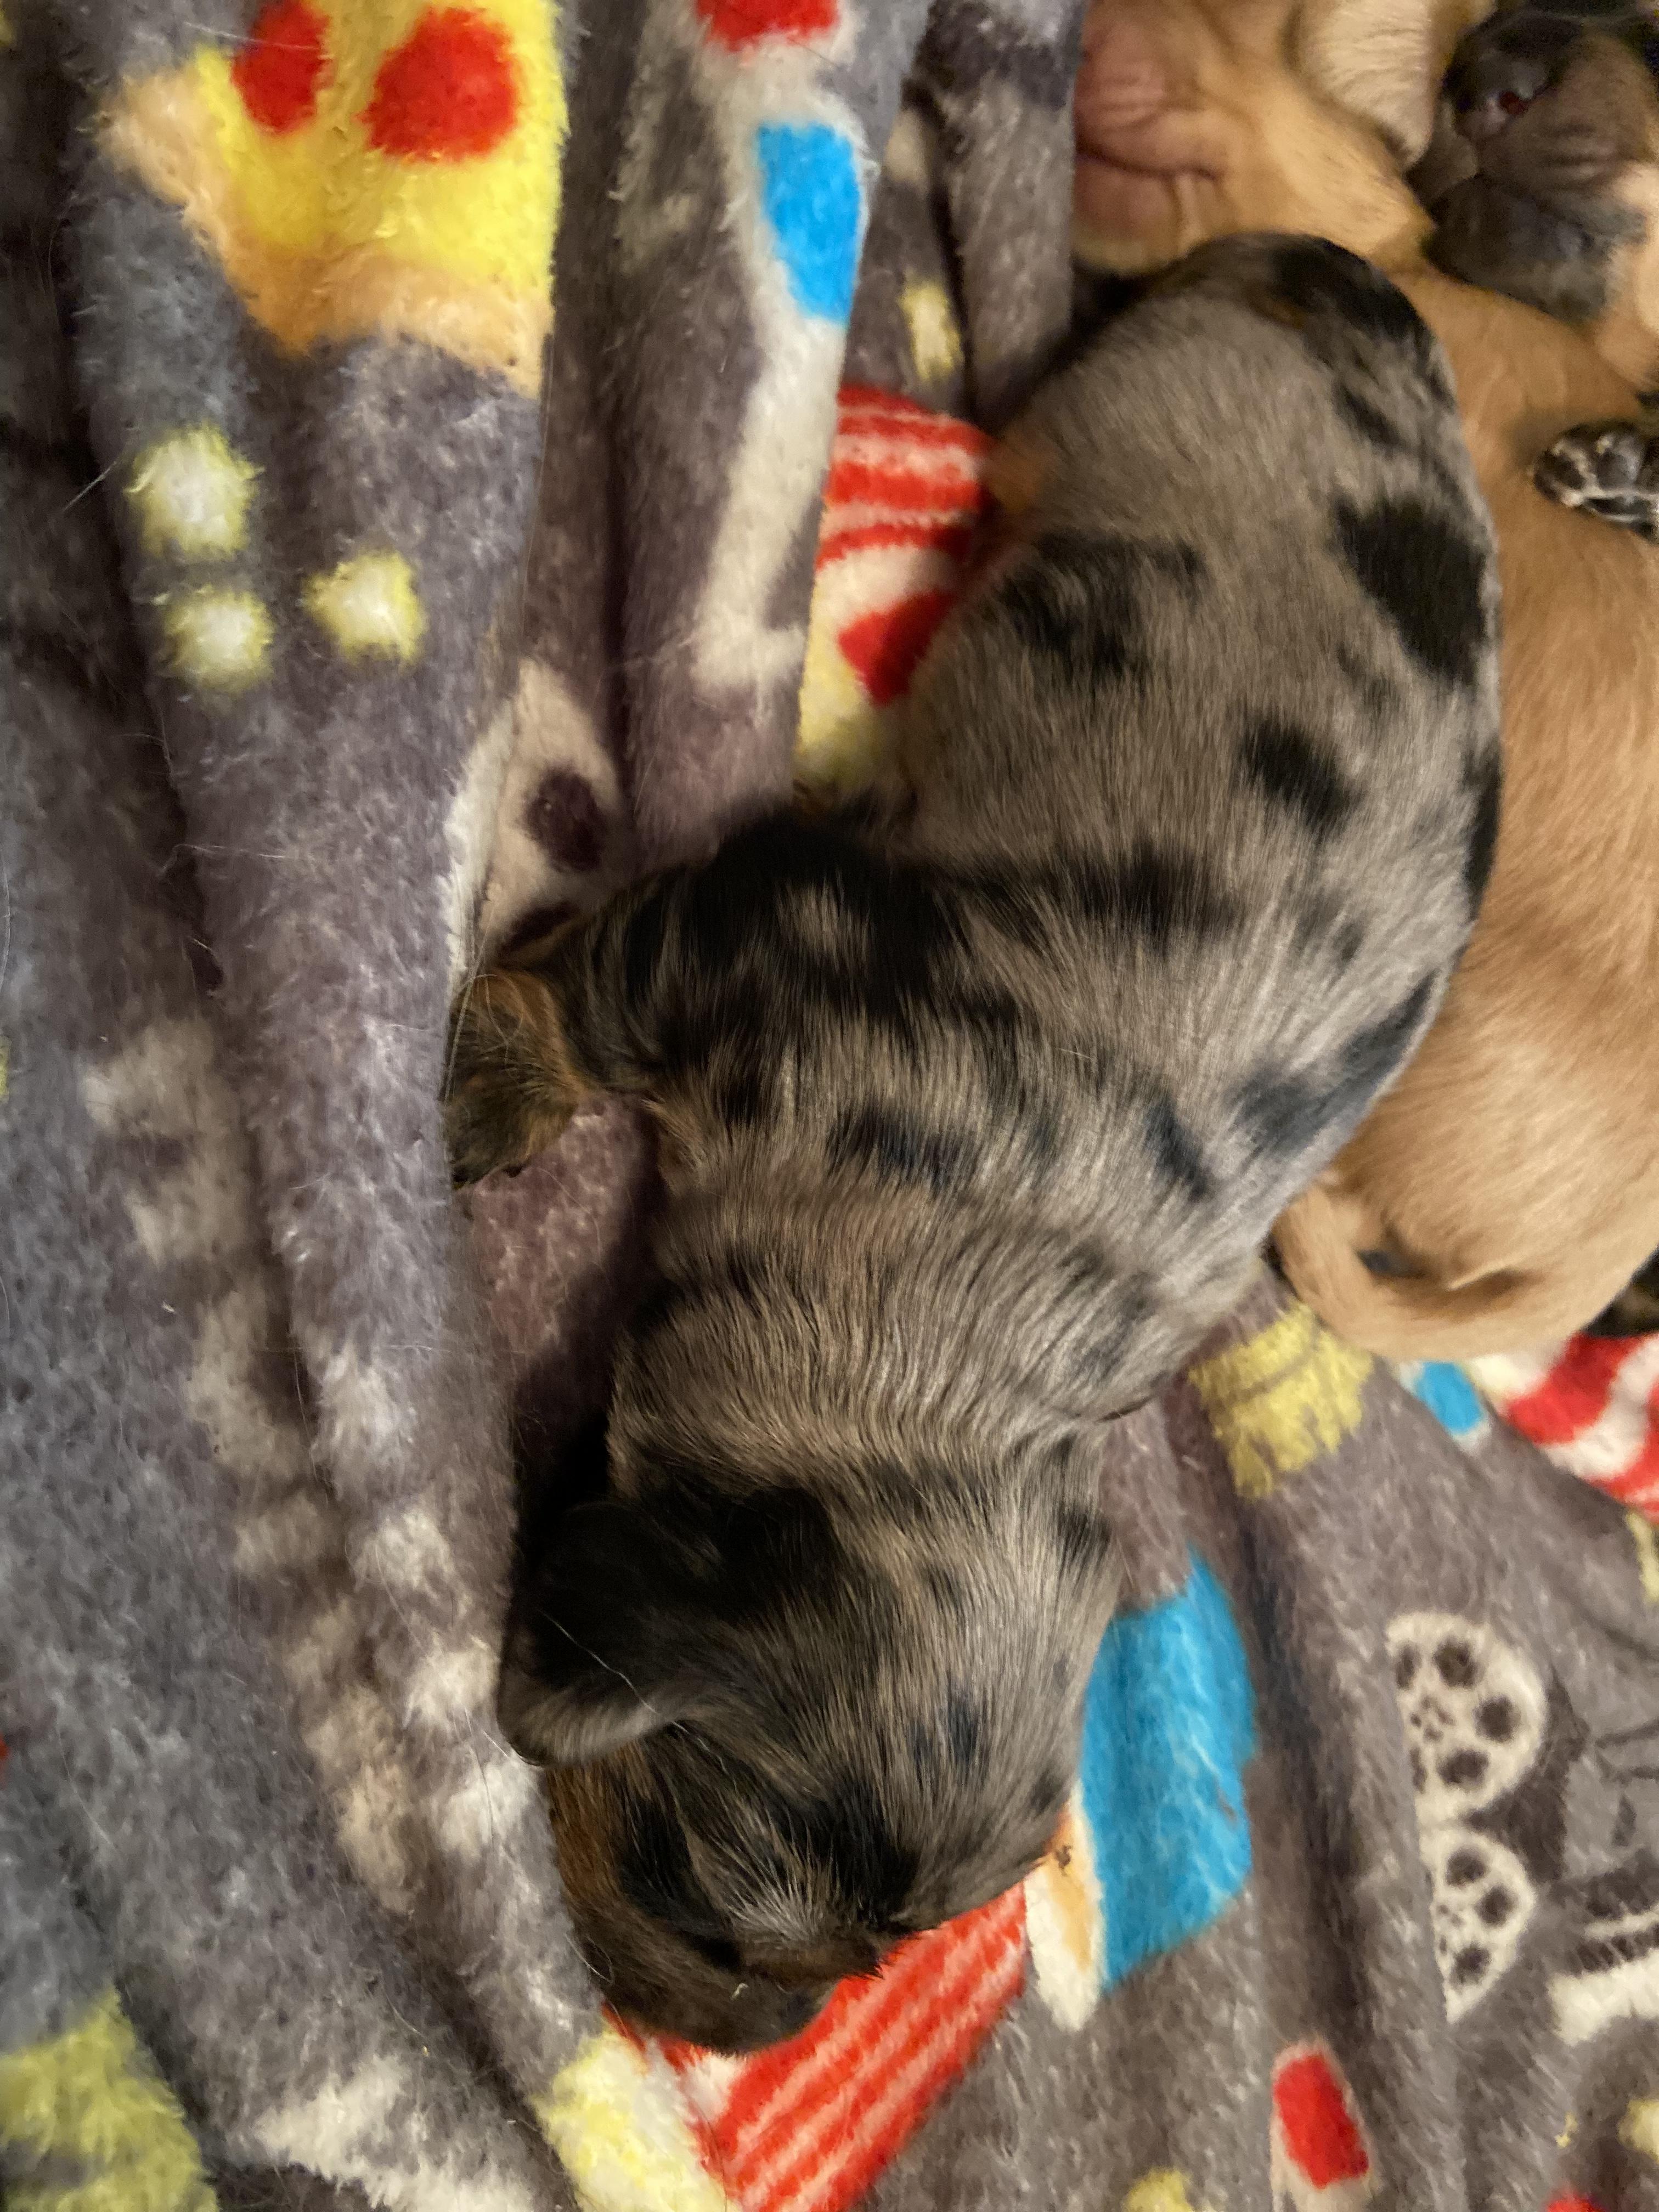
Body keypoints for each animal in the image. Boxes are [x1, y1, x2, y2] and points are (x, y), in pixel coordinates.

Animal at [448, 231, 1499, 2050]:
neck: (970, 1348)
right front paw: (490, 1088)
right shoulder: (740, 935)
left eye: (839, 1967)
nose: (744, 2043)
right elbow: (583, 996)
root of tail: (1353, 289)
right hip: (1113, 410)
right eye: (705, 1899)